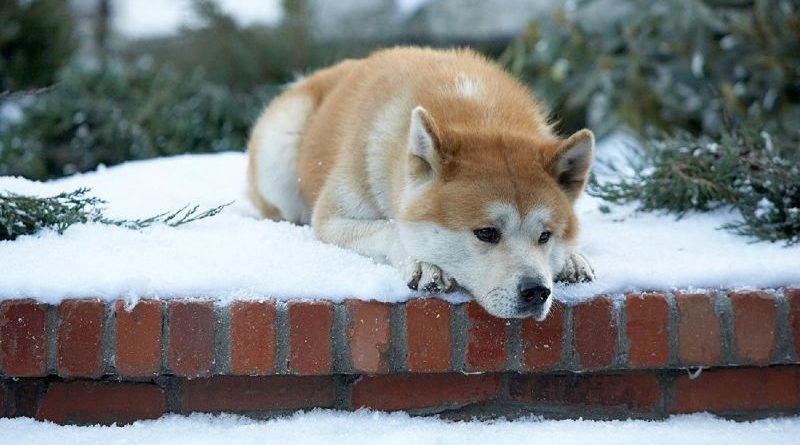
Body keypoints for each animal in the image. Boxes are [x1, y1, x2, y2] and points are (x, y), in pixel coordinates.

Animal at [248, 46, 592, 320]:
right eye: (486, 233)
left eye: (545, 236)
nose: (537, 291)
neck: (481, 116)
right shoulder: (331, 219)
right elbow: (389, 229)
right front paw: (423, 264)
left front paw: (571, 259)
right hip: (280, 150)